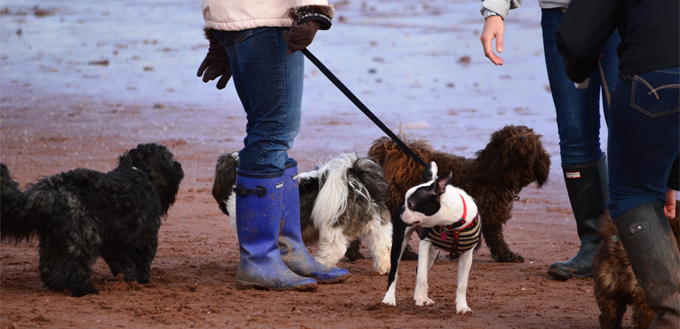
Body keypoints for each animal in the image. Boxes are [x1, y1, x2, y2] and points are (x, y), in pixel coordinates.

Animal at [0, 142, 183, 296]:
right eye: (170, 158)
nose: (180, 167)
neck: (138, 171)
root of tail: (53, 188)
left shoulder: (115, 242)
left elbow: (123, 265)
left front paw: (128, 279)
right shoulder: (146, 238)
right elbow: (141, 264)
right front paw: (142, 281)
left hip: (51, 239)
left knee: (48, 267)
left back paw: (58, 286)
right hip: (85, 237)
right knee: (76, 269)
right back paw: (86, 290)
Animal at [366, 124, 552, 262]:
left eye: (529, 134)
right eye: (509, 135)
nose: (522, 138)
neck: (496, 176)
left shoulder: (491, 217)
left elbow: (497, 239)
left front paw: (507, 256)